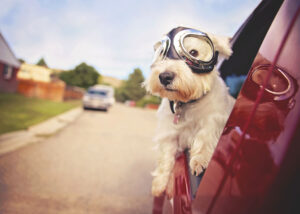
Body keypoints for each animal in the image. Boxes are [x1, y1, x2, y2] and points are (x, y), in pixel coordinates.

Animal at [144, 27, 236, 197]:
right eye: (162, 54)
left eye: (193, 52)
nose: (165, 76)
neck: (187, 102)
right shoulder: (169, 134)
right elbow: (165, 157)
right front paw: (159, 184)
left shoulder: (214, 119)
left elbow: (205, 137)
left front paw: (199, 160)